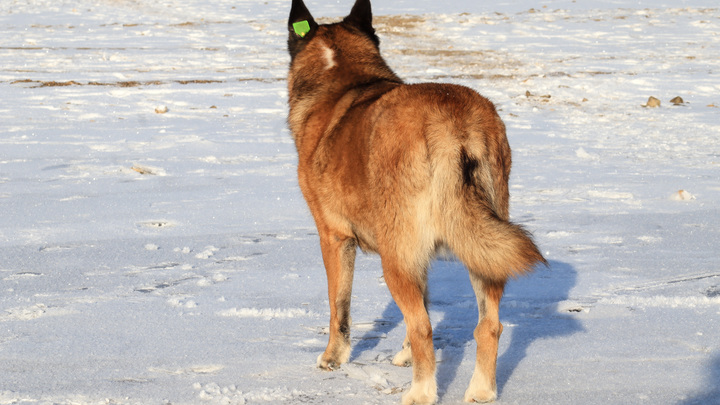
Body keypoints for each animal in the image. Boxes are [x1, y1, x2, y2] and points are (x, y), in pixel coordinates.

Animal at [286, 1, 544, 402]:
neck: (344, 79)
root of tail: (452, 125)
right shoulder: (418, 254)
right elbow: (420, 302)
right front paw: (405, 355)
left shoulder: (335, 238)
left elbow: (339, 307)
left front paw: (332, 357)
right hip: (482, 247)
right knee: (488, 325)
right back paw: (480, 390)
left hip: (395, 258)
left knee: (424, 327)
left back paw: (421, 392)